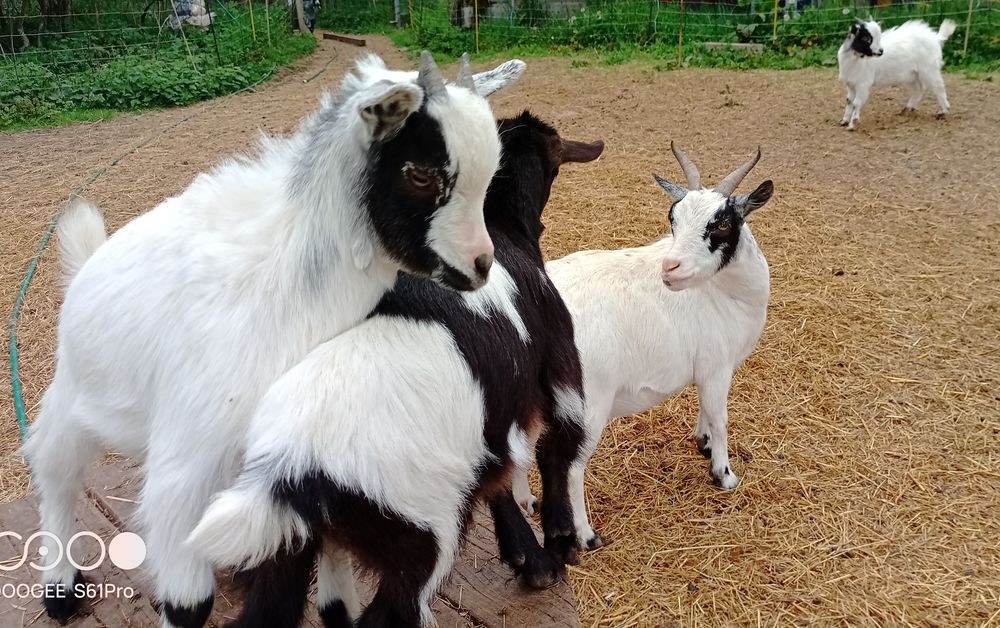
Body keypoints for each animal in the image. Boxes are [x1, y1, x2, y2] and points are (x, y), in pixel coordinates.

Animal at [23, 51, 525, 628]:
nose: (480, 265)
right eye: (421, 172)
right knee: (55, 470)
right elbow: (187, 603)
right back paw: (60, 587)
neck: (284, 293)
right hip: (72, 395)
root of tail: (88, 261)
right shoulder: (186, 463)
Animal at [186, 113, 605, 628]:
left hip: (285, 548)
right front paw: (560, 544)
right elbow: (556, 448)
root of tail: (291, 471)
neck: (502, 229)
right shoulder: (559, 363)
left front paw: (530, 559)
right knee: (394, 608)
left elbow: (499, 479)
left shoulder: (489, 424)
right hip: (421, 530)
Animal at [512, 144, 774, 550]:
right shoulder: (717, 366)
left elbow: (705, 411)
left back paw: (528, 504)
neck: (724, 293)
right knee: (568, 464)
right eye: (673, 218)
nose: (671, 267)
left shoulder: (706, 370)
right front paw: (724, 475)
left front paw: (702, 443)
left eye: (722, 224)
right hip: (588, 402)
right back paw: (587, 537)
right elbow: (721, 418)